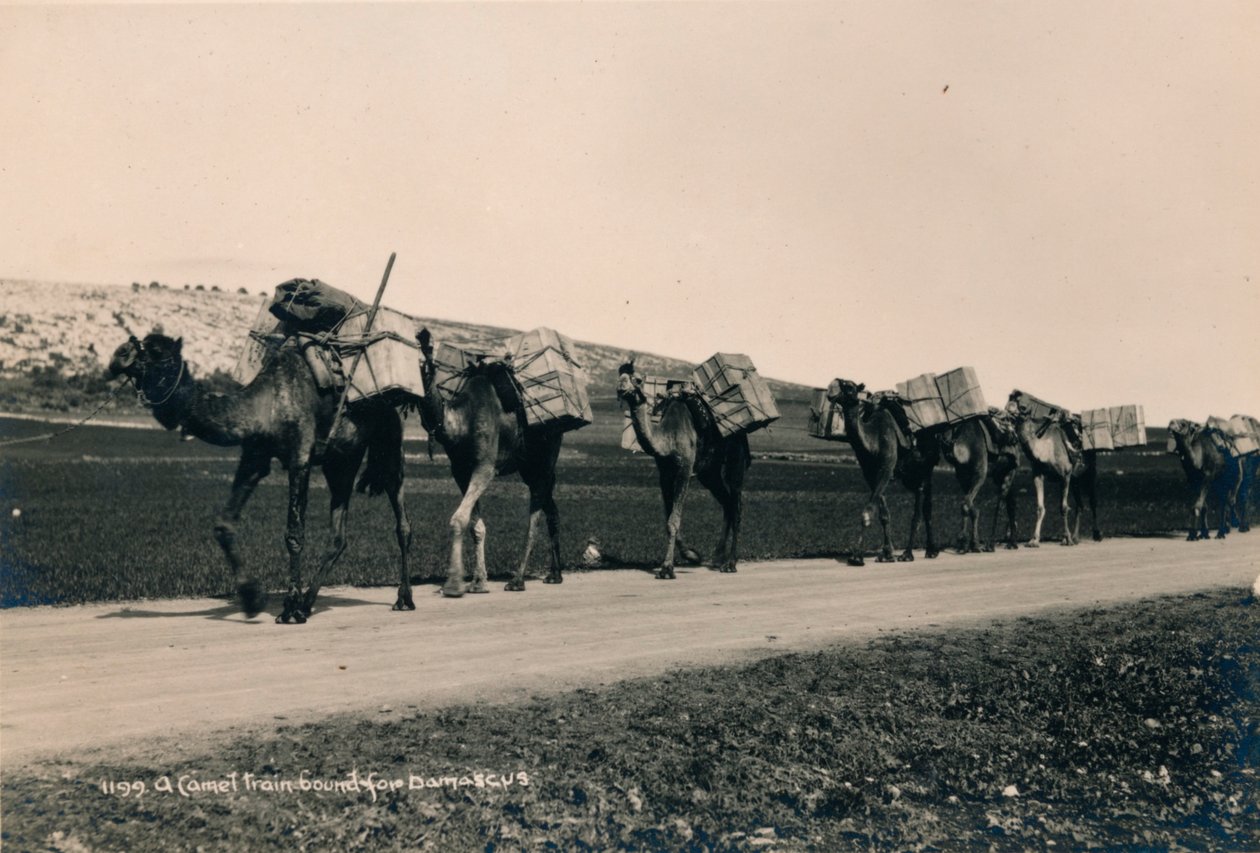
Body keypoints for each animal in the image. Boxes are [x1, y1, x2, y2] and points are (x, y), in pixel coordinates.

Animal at [107, 330, 413, 619]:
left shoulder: (299, 456)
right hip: (340, 461)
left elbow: (294, 534)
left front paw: (289, 610)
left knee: (402, 521)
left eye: (157, 351)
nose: (118, 355)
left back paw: (403, 599)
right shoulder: (255, 457)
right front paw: (252, 598)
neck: (266, 405)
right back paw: (309, 603)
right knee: (338, 535)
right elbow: (224, 525)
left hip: (388, 441)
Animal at [415, 330, 564, 594]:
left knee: (535, 513)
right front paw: (478, 582)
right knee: (551, 508)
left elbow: (459, 519)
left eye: (429, 357)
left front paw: (453, 584)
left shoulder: (485, 467)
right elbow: (476, 526)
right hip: (529, 467)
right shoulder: (461, 471)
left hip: (546, 454)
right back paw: (555, 575)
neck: (462, 421)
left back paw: (517, 580)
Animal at [617, 355, 745, 574]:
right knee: (727, 503)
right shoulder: (665, 473)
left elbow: (674, 519)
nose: (621, 389)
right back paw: (717, 557)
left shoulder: (685, 468)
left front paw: (667, 568)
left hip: (735, 460)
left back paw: (730, 563)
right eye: (619, 377)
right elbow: (668, 518)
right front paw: (692, 555)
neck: (667, 438)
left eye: (638, 380)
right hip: (709, 472)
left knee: (735, 505)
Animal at [821, 380, 942, 564]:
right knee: (924, 504)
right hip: (909, 475)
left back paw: (911, 553)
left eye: (849, 387)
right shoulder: (870, 474)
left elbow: (867, 512)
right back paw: (929, 550)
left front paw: (857, 556)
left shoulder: (886, 468)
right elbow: (884, 514)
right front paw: (887, 553)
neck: (874, 440)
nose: (831, 389)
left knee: (922, 509)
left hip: (925, 469)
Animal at [997, 393, 1098, 546]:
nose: (1005, 414)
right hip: (1075, 479)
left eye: (1022, 407)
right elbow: (1040, 507)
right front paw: (1034, 540)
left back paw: (1095, 535)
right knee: (1080, 505)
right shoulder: (1038, 475)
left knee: (1092, 501)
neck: (1045, 449)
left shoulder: (1065, 475)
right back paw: (1075, 537)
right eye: (1006, 405)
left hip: (1089, 472)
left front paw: (1067, 539)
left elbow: (1063, 508)